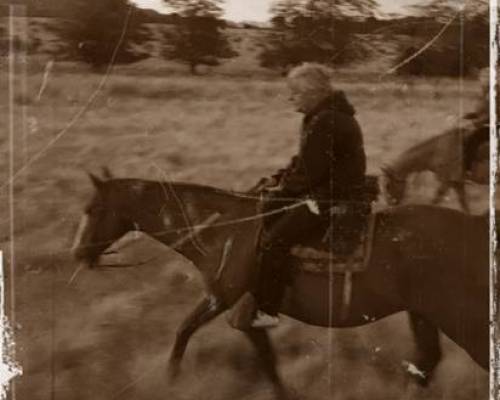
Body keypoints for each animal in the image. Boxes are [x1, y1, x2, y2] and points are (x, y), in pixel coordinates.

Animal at [70, 170, 488, 398]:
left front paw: (171, 380)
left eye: (93, 209)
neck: (225, 229)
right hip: (422, 313)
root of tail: (476, 226)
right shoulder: (242, 312)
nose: (77, 253)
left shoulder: (225, 299)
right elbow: (265, 362)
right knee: (426, 362)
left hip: (456, 315)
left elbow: (185, 331)